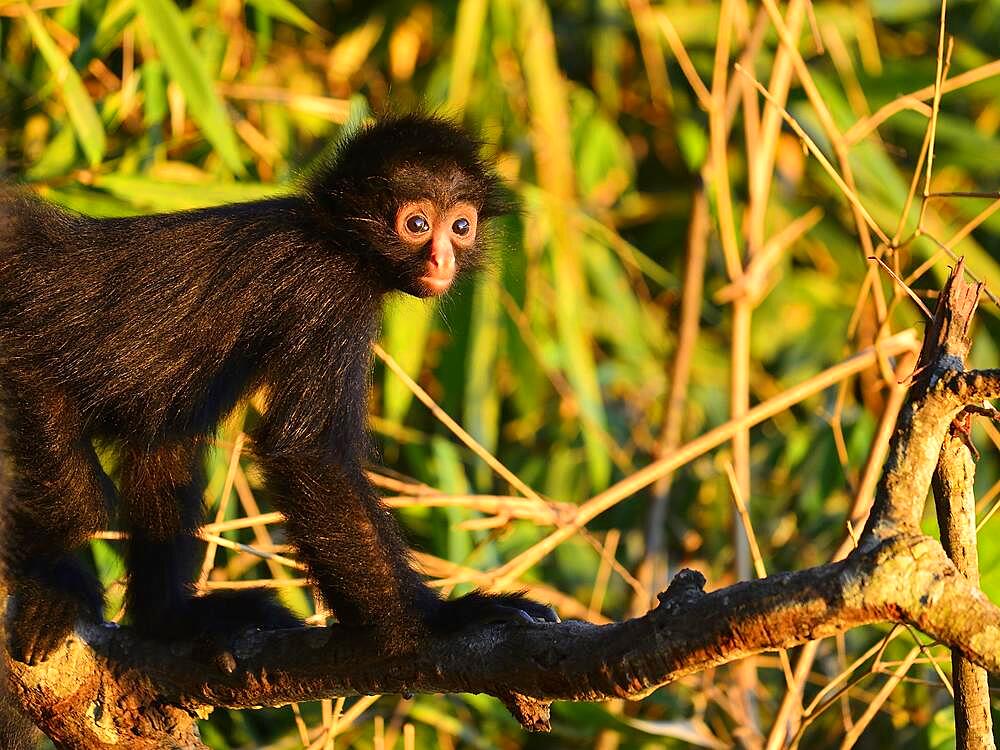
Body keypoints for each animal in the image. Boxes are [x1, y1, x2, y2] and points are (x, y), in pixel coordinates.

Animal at [0, 114, 556, 668]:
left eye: (461, 227)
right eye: (417, 224)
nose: (442, 260)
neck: (334, 235)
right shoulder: (328, 289)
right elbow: (307, 454)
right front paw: (438, 621)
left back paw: (170, 620)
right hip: (25, 369)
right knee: (83, 501)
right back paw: (52, 590)